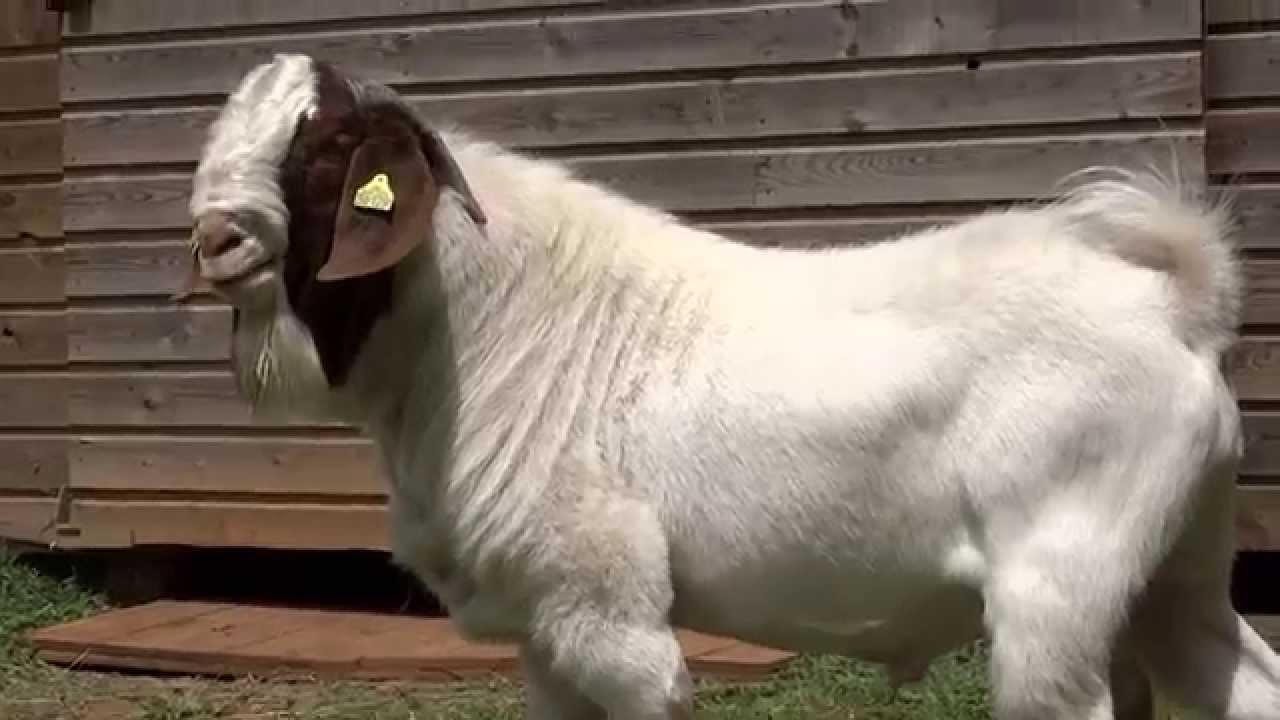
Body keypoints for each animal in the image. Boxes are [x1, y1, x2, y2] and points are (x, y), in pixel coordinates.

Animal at [180, 53, 1280, 719]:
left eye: (327, 148)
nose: (215, 239)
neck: (505, 329)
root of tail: (1174, 299)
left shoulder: (609, 616)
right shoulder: (542, 631)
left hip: (1058, 580)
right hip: (1173, 568)